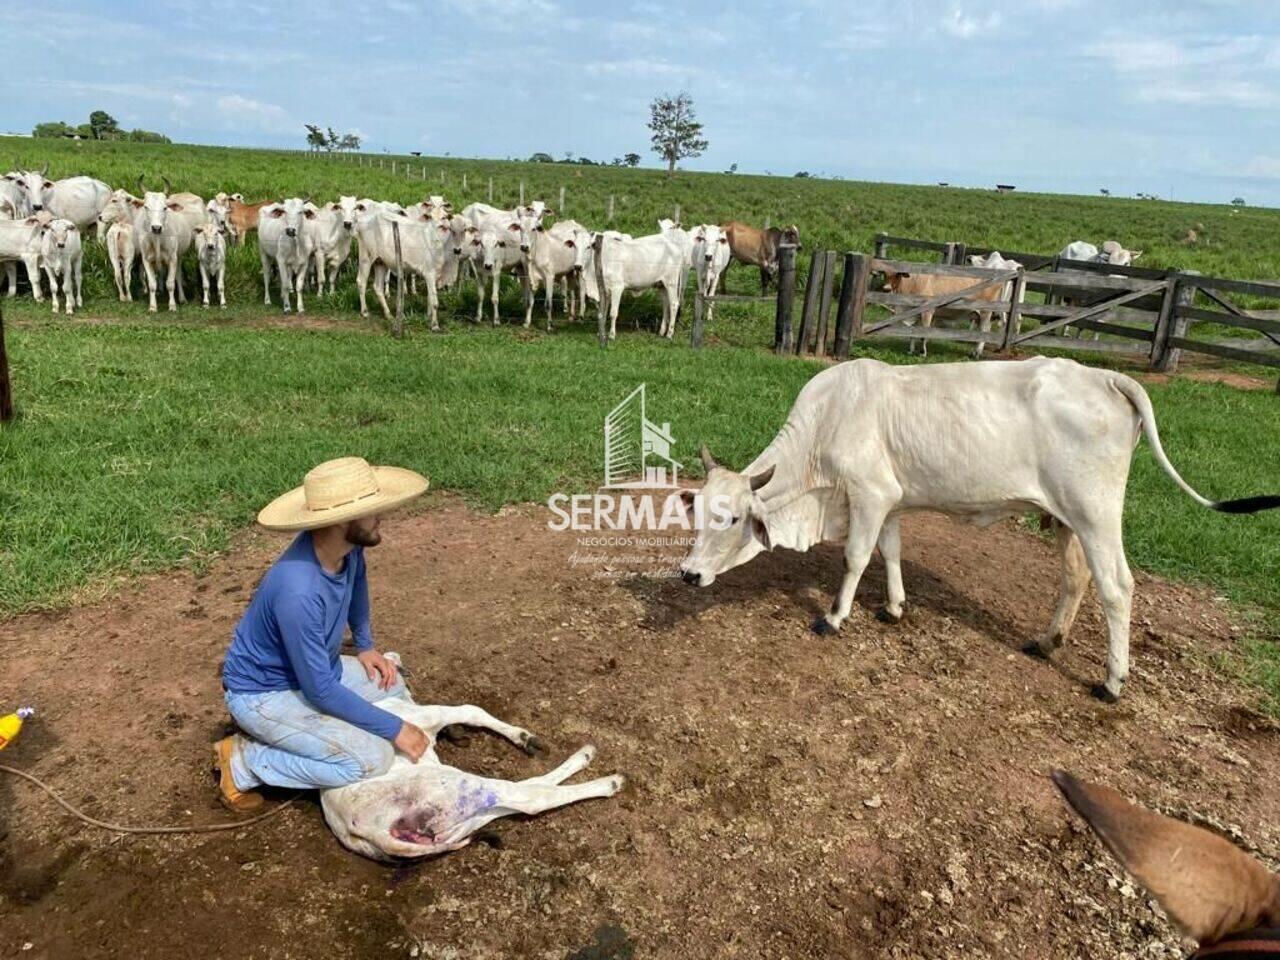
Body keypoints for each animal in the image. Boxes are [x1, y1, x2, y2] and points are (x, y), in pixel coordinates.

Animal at [317, 686, 622, 865]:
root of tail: (360, 830)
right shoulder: (427, 717)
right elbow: (471, 709)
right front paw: (522, 736)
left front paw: (523, 738)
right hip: (454, 787)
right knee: (533, 798)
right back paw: (607, 779)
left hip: (459, 816)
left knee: (521, 793)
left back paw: (584, 759)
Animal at [675, 358, 1274, 701]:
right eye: (696, 510)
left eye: (732, 518)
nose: (687, 574)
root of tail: (1104, 376)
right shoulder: (892, 501)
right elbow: (891, 552)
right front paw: (894, 607)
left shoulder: (869, 495)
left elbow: (855, 558)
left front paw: (834, 617)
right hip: (1067, 519)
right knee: (1076, 578)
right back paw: (1047, 642)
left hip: (1097, 514)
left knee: (1117, 587)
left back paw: (1112, 682)